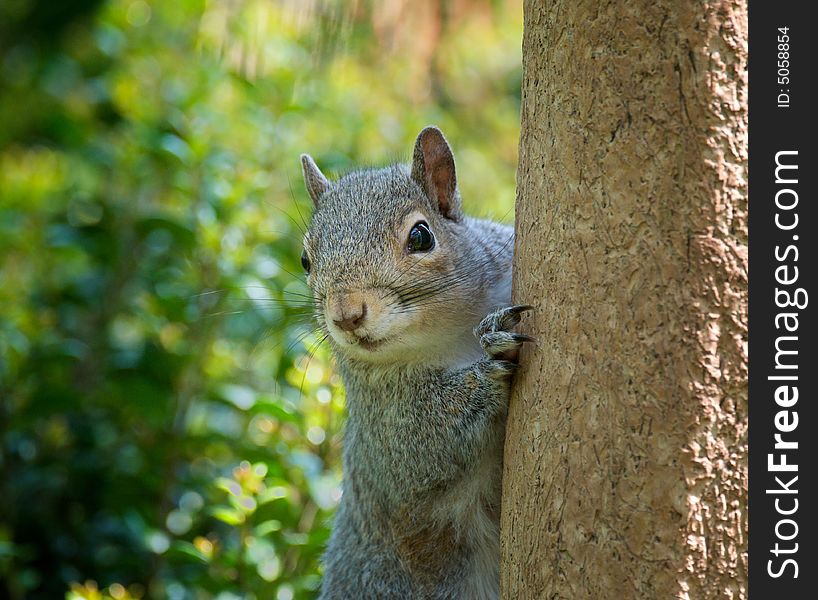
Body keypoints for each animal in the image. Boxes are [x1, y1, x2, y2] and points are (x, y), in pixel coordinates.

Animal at [300, 126, 528, 600]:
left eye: (421, 236)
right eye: (306, 260)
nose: (346, 315)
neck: (452, 331)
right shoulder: (383, 424)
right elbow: (421, 449)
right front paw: (490, 366)